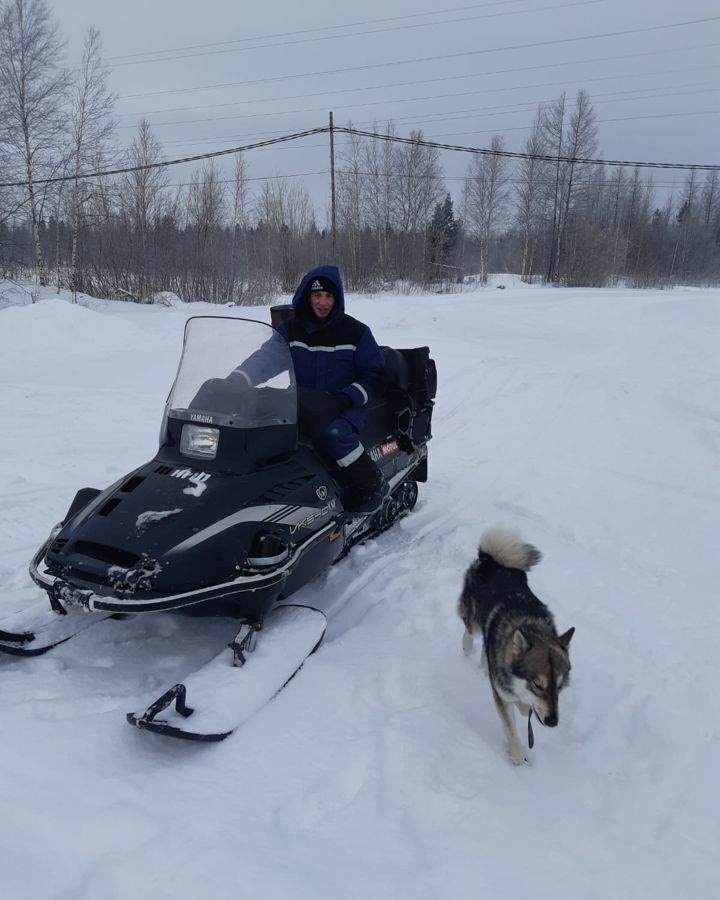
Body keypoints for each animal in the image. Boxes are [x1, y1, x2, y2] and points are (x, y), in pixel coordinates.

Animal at [462, 528, 572, 768]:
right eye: (538, 684)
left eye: (560, 686)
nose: (552, 722)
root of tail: (491, 559)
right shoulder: (501, 697)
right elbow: (510, 729)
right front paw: (517, 758)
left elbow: (524, 708)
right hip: (473, 619)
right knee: (469, 631)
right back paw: (466, 647)